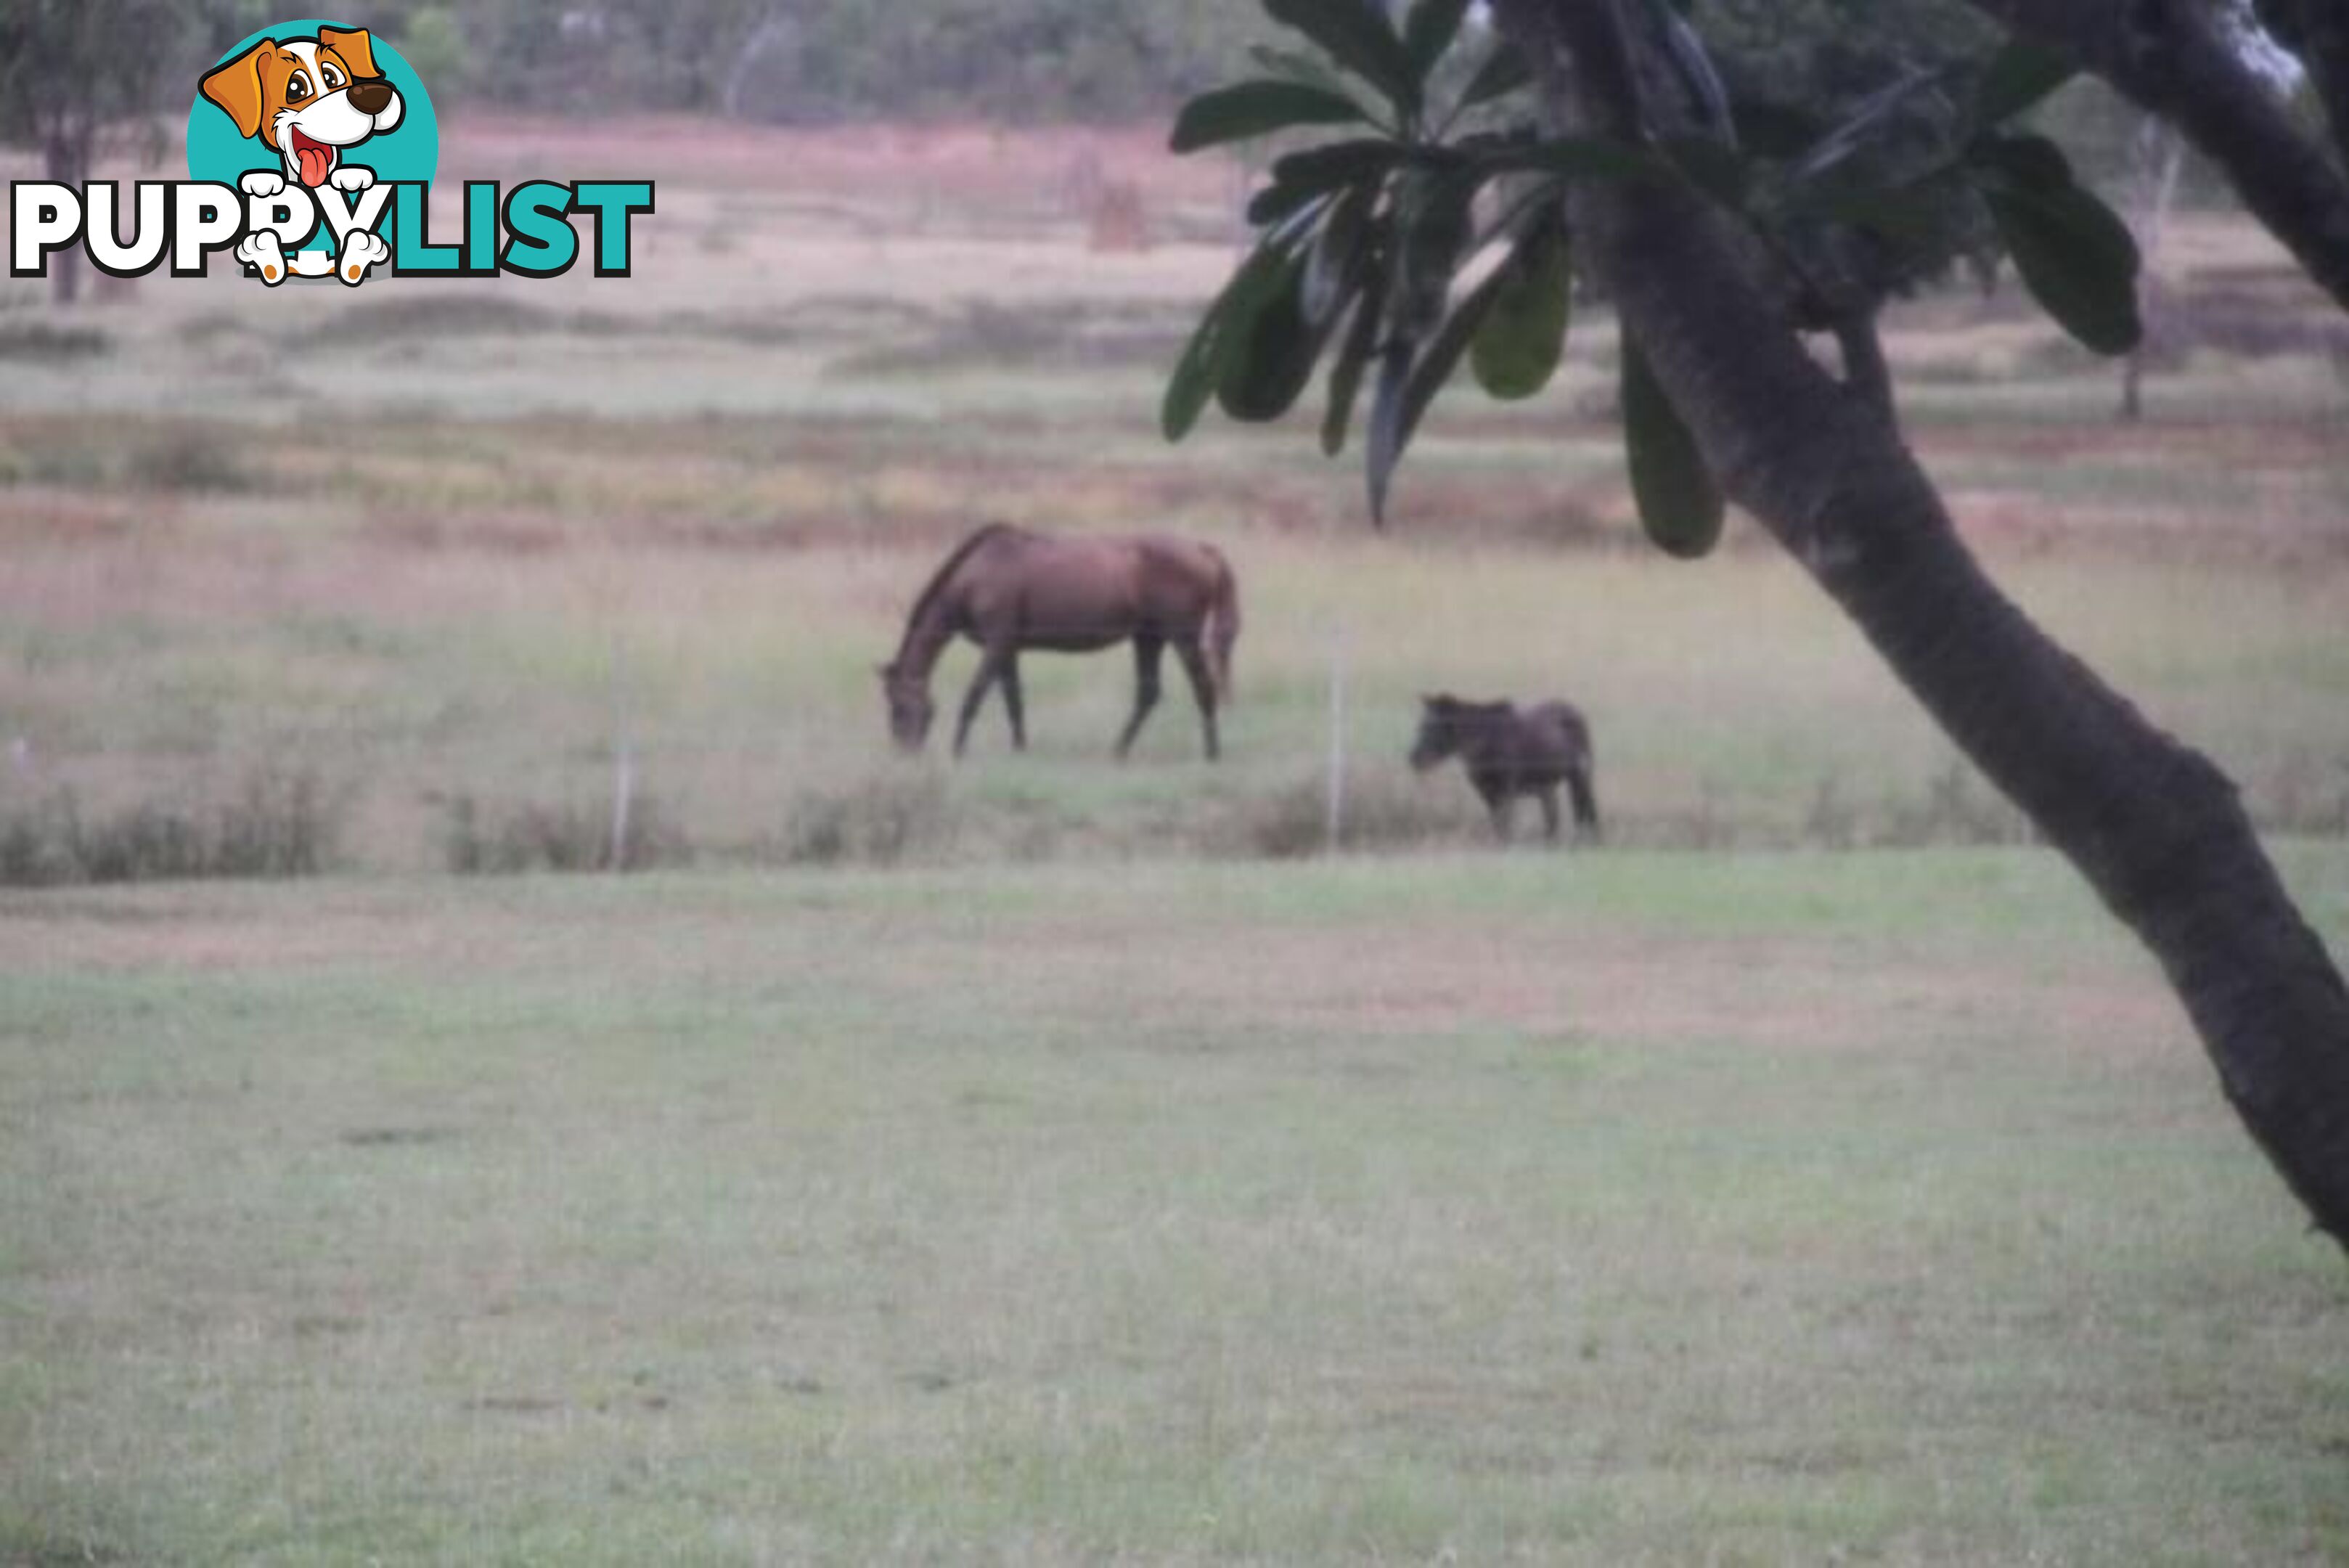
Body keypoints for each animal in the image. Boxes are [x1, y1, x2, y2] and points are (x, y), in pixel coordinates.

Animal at [883, 524, 1249, 761]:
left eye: (899, 705)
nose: (903, 753)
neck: (978, 575)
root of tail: (1204, 549)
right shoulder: (1009, 650)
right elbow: (1014, 700)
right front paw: (1020, 748)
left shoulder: (996, 645)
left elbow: (975, 694)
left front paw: (958, 751)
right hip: (1148, 638)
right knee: (1148, 694)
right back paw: (1118, 751)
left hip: (1181, 637)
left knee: (1203, 688)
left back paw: (1212, 754)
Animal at [1409, 695, 1597, 846]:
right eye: (1421, 725)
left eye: (1431, 726)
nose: (1413, 759)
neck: (1487, 740)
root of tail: (1574, 711)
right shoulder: (1486, 791)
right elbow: (1497, 823)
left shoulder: (1507, 789)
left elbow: (1505, 821)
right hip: (1548, 785)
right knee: (1555, 817)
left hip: (1580, 777)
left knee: (1585, 811)